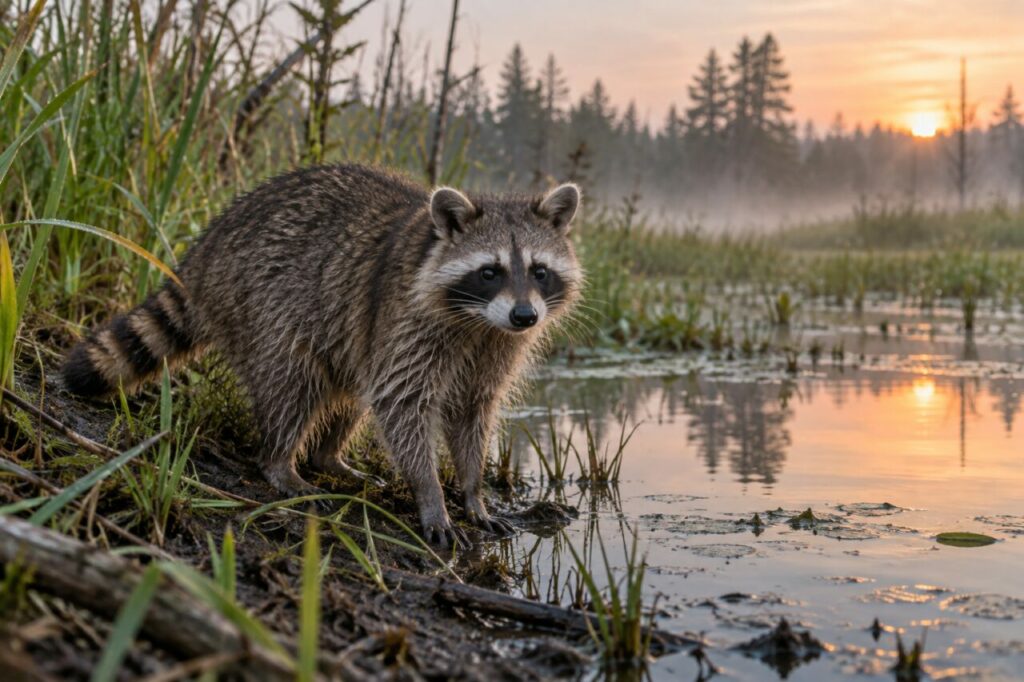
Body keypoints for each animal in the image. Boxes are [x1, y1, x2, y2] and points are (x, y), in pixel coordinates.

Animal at [62, 164, 583, 546]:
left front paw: (473, 493)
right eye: (490, 272)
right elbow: (401, 404)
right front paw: (431, 493)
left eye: (539, 270)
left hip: (347, 329)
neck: (479, 323)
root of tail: (209, 245)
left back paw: (327, 456)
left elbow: (472, 413)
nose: (525, 316)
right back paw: (280, 461)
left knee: (351, 390)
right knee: (291, 382)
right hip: (263, 300)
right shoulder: (405, 321)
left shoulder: (493, 349)